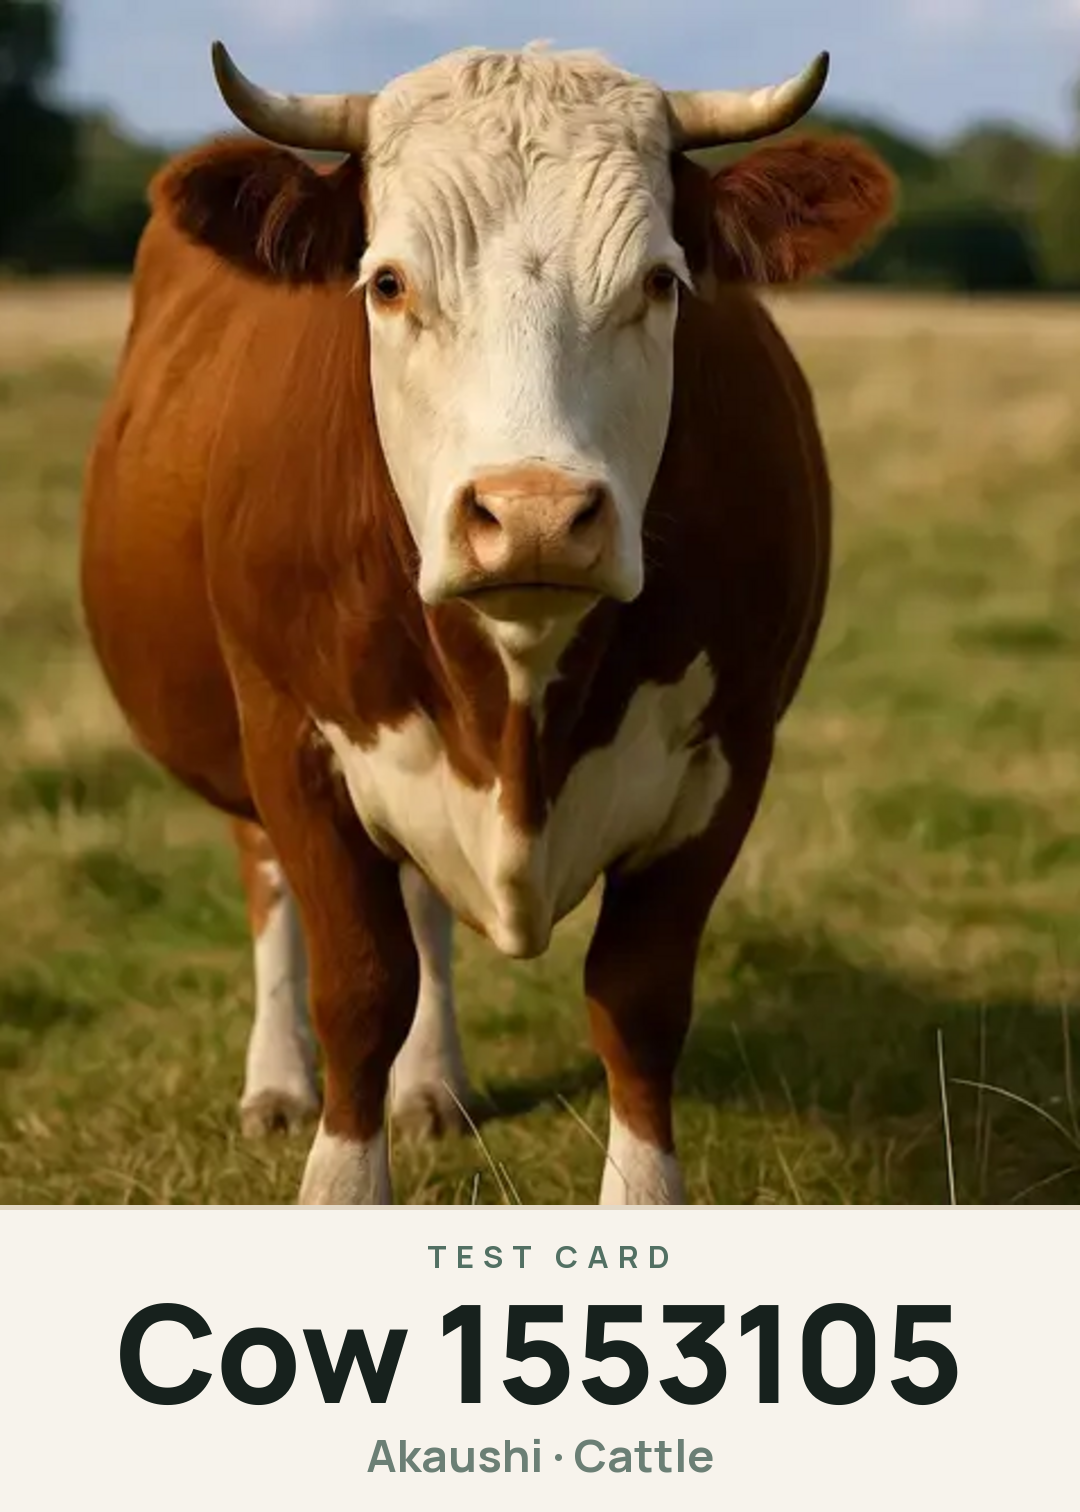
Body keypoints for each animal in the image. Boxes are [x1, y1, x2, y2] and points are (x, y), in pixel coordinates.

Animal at [79, 40, 894, 1205]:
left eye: (660, 281)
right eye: (387, 282)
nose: (534, 516)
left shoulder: (730, 757)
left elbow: (638, 1002)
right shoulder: (289, 737)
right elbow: (359, 988)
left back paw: (432, 1086)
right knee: (270, 883)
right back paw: (276, 1082)